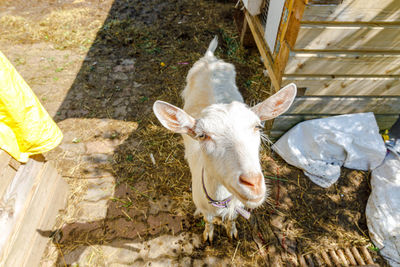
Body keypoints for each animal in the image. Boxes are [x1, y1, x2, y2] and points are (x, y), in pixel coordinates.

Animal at [154, 37, 296, 243]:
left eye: (257, 126)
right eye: (202, 135)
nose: (253, 183)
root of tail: (209, 58)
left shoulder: (236, 207)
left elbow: (233, 218)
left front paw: (232, 231)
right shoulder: (203, 207)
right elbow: (208, 220)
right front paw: (208, 235)